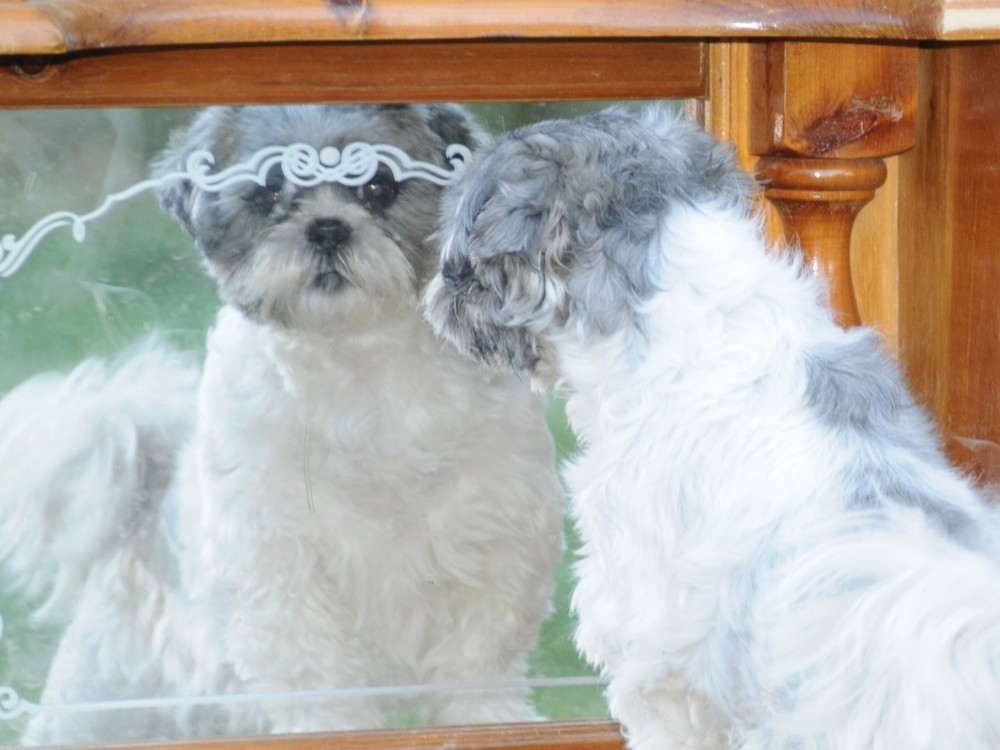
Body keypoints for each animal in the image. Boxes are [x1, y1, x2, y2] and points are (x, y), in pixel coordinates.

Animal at [0, 104, 564, 748]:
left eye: (379, 187)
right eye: (269, 194)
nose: (326, 227)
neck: (363, 375)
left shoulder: (495, 540)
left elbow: (476, 661)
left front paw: (491, 720)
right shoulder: (280, 564)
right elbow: (315, 671)